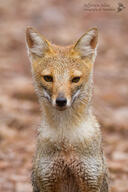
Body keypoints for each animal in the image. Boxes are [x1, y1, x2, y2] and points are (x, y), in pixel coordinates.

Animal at [25, 26, 109, 192]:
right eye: (48, 78)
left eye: (75, 79)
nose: (61, 101)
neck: (66, 138)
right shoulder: (47, 180)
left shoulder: (90, 180)